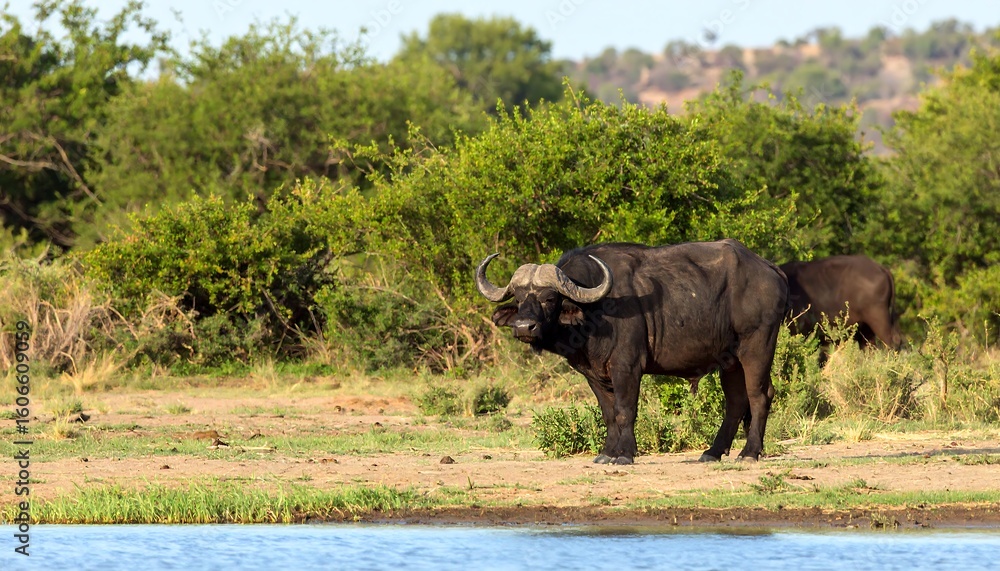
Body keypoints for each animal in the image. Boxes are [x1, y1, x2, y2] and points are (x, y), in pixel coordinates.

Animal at [476, 239, 789, 465]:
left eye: (549, 298)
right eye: (519, 298)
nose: (524, 327)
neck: (595, 313)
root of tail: (771, 269)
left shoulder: (626, 367)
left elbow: (626, 410)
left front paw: (625, 454)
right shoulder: (594, 374)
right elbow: (609, 413)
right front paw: (607, 453)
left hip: (757, 346)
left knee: (759, 395)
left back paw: (750, 452)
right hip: (730, 360)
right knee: (735, 401)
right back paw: (713, 452)